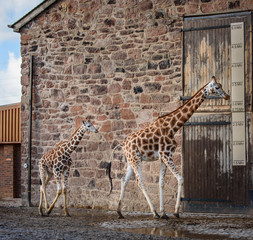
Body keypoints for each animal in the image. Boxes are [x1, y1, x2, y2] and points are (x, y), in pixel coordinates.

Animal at [109, 77, 230, 219]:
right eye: (216, 87)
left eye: (221, 85)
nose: (227, 96)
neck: (173, 127)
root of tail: (123, 144)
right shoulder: (166, 155)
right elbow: (180, 178)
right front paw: (175, 212)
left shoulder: (163, 157)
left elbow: (161, 183)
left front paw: (164, 213)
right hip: (136, 159)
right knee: (139, 181)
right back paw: (154, 212)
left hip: (130, 160)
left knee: (124, 180)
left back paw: (120, 212)